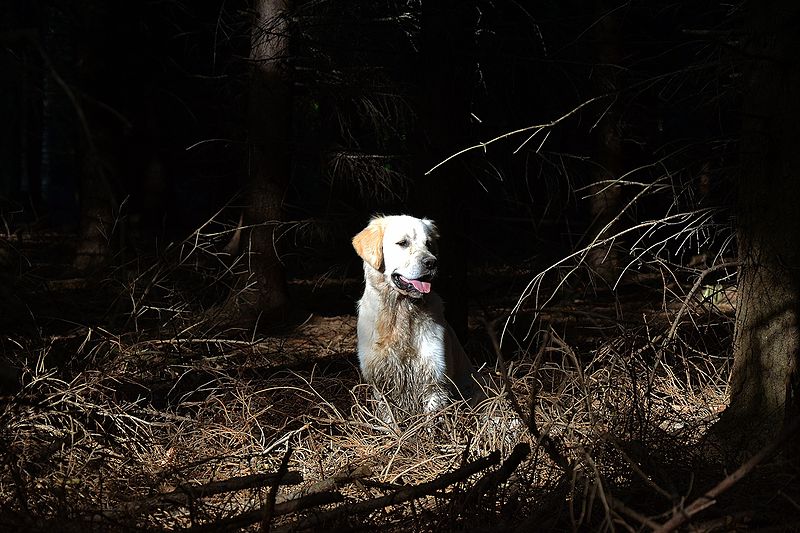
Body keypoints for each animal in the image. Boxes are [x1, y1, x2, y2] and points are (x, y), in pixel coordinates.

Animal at [352, 213, 476, 416]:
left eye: (429, 244)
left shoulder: (435, 382)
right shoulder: (381, 385)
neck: (400, 310)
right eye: (403, 243)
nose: (432, 262)